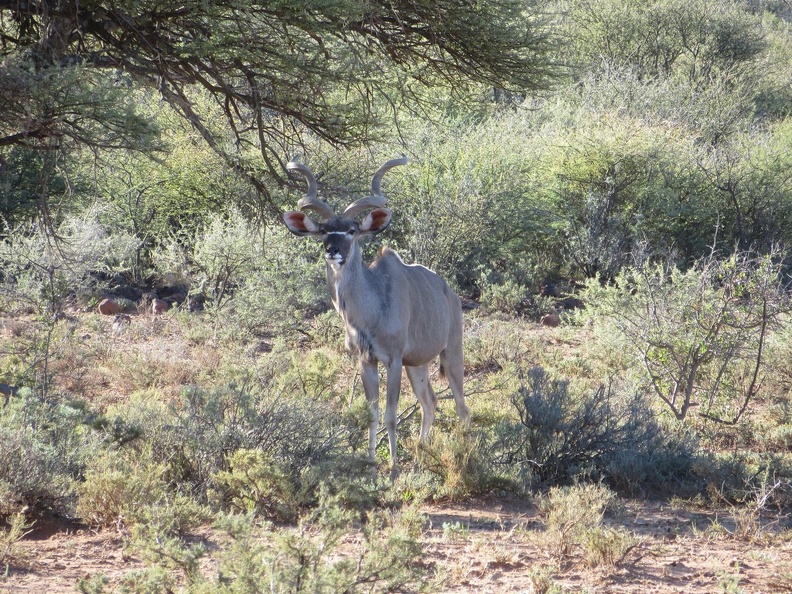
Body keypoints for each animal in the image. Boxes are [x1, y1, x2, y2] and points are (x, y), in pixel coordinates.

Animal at [284, 155, 470, 474]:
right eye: (323, 230)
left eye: (352, 230)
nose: (332, 251)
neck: (369, 311)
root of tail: (451, 294)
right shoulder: (366, 360)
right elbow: (372, 413)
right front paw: (371, 461)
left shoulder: (392, 360)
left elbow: (390, 415)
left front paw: (393, 466)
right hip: (417, 365)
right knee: (430, 402)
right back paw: (421, 453)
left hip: (451, 353)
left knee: (461, 406)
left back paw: (466, 455)